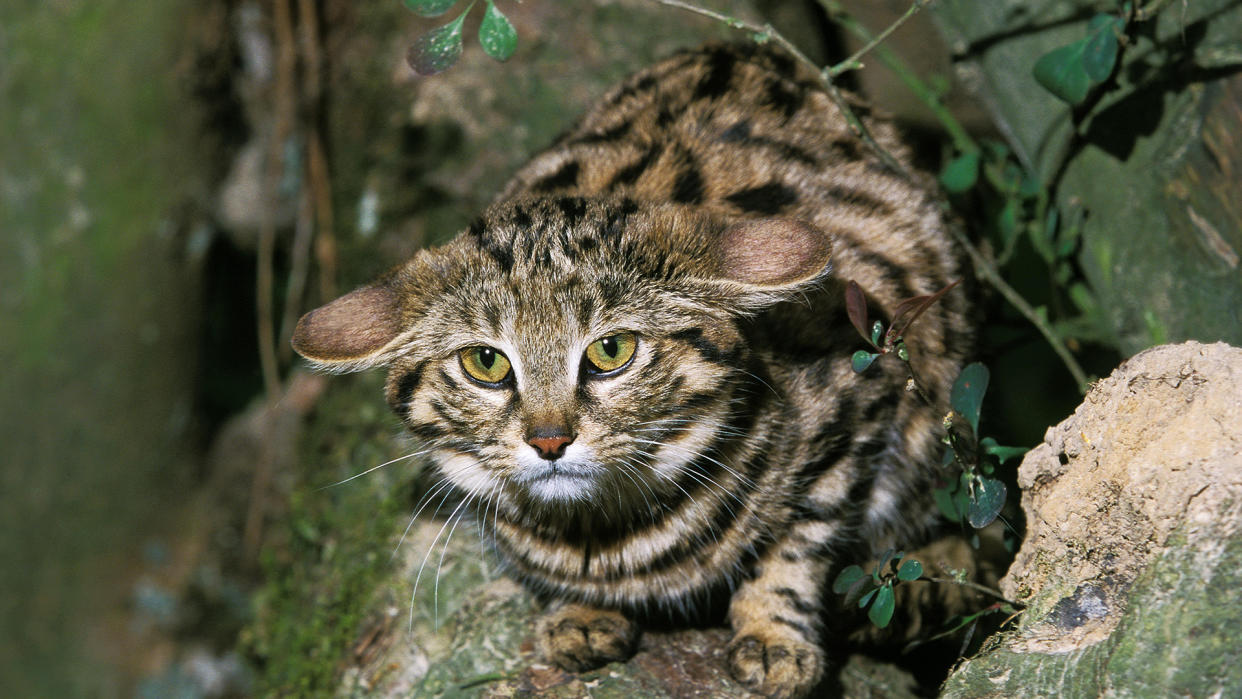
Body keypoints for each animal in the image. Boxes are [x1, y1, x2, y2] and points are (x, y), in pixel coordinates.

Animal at [288, 42, 968, 699]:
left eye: (611, 351)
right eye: (486, 362)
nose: (549, 440)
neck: (605, 537)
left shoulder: (862, 394)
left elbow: (802, 537)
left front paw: (774, 633)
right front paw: (579, 611)